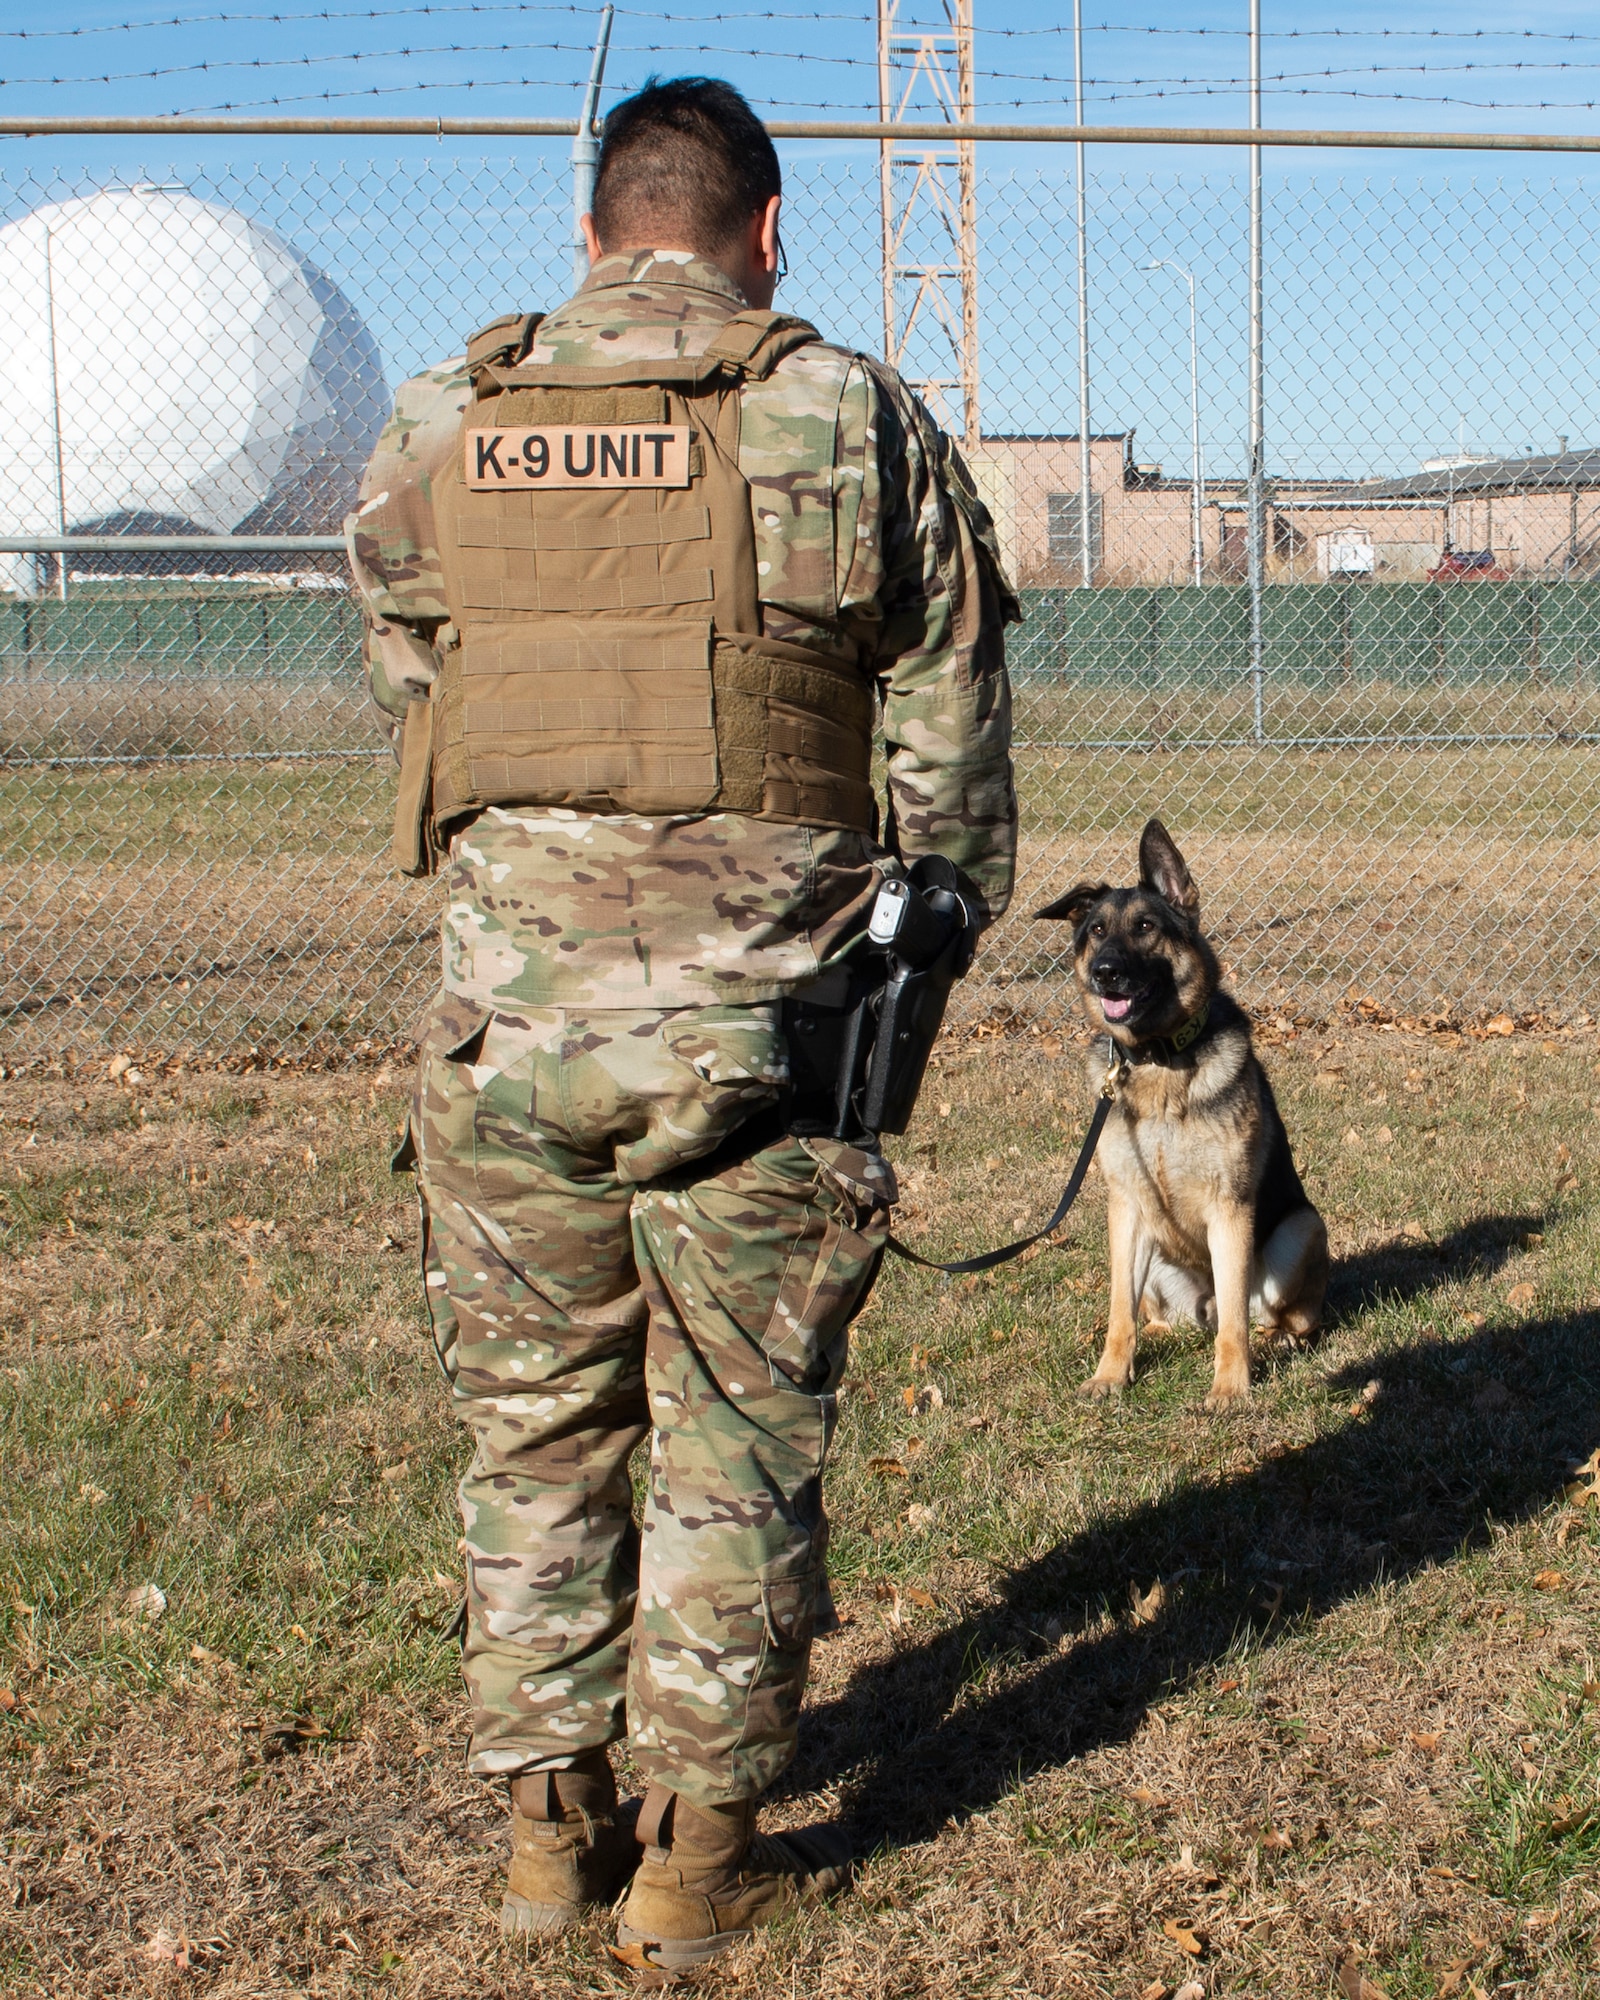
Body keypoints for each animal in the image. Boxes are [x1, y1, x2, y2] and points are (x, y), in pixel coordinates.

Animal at [1040, 820, 1328, 1416]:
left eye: (1146, 927)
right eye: (1096, 930)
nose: (1104, 973)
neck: (1158, 1059)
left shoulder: (1231, 1208)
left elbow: (1236, 1327)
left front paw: (1230, 1388)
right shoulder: (1126, 1209)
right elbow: (1118, 1312)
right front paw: (1111, 1374)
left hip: (1301, 1228)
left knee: (1279, 1318)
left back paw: (1280, 1340)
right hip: (1150, 1256)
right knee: (1158, 1316)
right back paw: (1156, 1334)